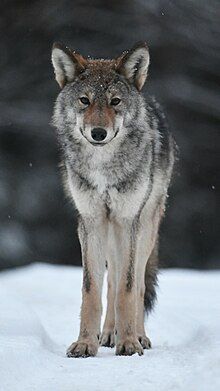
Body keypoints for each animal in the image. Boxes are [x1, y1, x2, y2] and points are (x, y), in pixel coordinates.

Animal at [51, 41, 175, 356]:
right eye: (84, 101)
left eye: (115, 101)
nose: (98, 133)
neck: (103, 167)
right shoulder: (91, 222)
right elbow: (92, 289)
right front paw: (86, 343)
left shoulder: (128, 220)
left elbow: (129, 289)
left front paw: (129, 342)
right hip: (109, 232)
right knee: (111, 281)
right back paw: (107, 334)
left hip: (143, 229)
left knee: (136, 283)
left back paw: (138, 336)